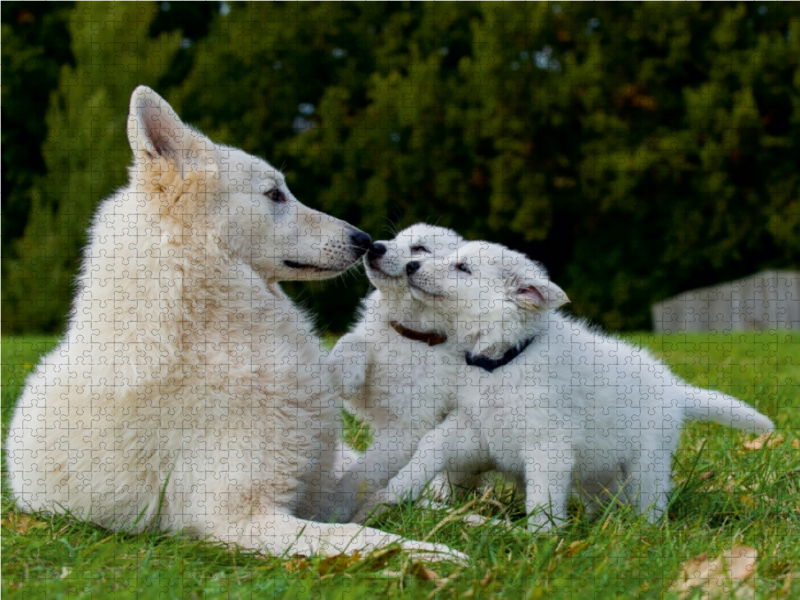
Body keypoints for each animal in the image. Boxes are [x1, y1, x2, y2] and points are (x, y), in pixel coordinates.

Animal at [6, 86, 466, 560]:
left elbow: (379, 506)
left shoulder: (315, 490)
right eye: (275, 194)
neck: (205, 327)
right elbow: (364, 537)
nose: (364, 240)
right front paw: (431, 555)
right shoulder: (245, 518)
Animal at [360, 239, 780, 528]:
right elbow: (432, 446)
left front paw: (539, 538)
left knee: (649, 499)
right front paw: (396, 489)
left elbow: (542, 496)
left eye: (462, 267)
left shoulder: (548, 443)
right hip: (597, 471)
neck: (504, 358)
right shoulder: (475, 426)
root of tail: (674, 389)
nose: (411, 264)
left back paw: (642, 531)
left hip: (646, 462)